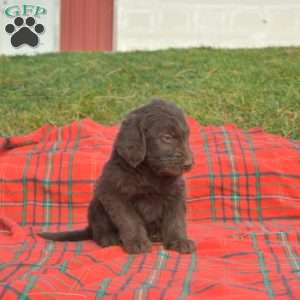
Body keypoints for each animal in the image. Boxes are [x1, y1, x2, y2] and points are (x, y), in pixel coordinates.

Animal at [38, 99, 196, 254]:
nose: (189, 164)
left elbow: (176, 220)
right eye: (167, 137)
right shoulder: (114, 194)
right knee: (98, 229)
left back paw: (156, 235)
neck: (149, 172)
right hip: (96, 203)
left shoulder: (176, 193)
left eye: (186, 137)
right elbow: (130, 220)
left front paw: (180, 241)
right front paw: (137, 242)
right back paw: (108, 238)